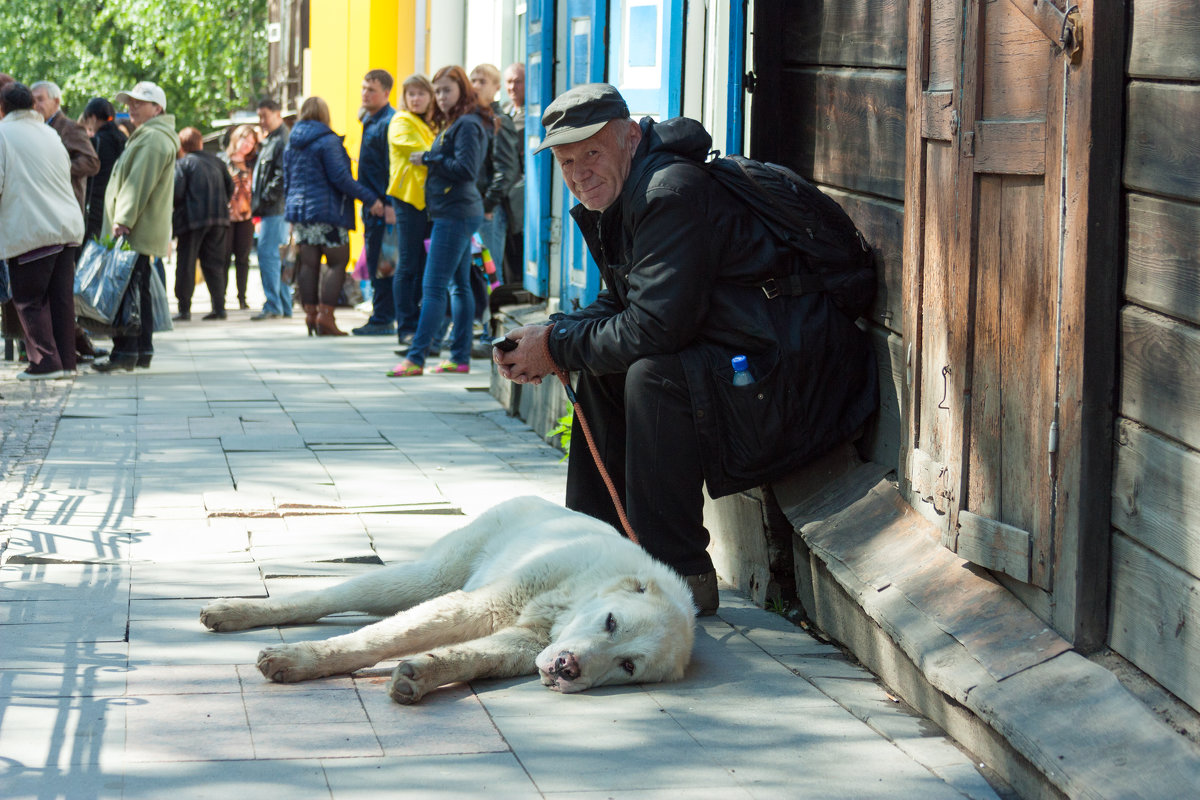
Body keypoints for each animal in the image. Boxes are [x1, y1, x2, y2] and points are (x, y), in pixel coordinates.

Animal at [201, 496, 700, 705]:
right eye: (610, 622)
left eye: (628, 667)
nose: (567, 668)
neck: (581, 593)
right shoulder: (480, 606)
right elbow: (376, 641)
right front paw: (302, 660)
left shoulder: (521, 644)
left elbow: (470, 658)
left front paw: (419, 677)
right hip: (428, 578)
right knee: (328, 596)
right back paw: (236, 612)